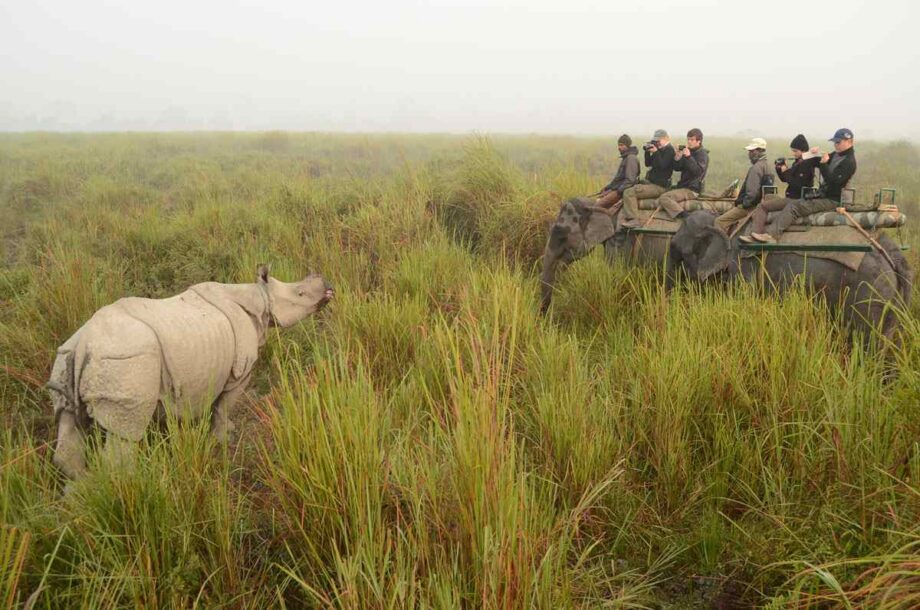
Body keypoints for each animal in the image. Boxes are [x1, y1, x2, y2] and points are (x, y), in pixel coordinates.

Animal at [46, 265, 333, 480]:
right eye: (300, 293)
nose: (328, 287)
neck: (259, 298)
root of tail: (85, 344)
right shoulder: (240, 371)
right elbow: (225, 405)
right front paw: (225, 438)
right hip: (127, 360)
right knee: (126, 430)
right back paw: (131, 484)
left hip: (67, 357)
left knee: (68, 419)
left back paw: (81, 491)